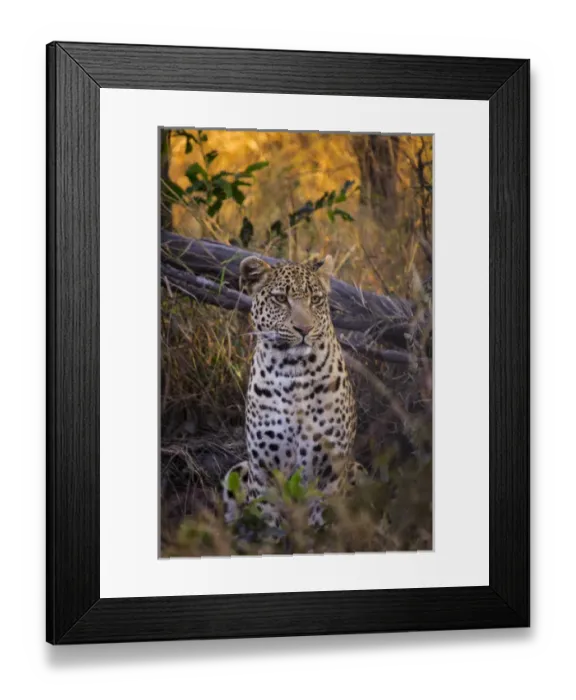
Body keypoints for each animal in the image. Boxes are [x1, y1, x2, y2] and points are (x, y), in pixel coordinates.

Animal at [222, 252, 364, 536]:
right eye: (280, 299)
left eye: (316, 300)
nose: (304, 329)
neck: (293, 374)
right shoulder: (263, 470)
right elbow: (270, 526)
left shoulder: (332, 470)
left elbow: (325, 523)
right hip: (238, 470)